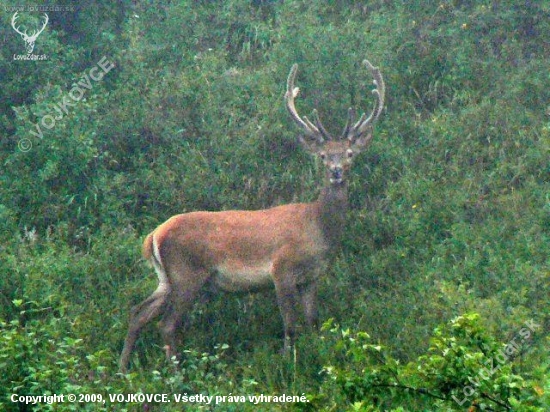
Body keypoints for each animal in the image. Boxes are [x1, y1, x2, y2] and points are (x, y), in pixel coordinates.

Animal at [119, 58, 388, 374]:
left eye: (349, 154)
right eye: (322, 156)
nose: (335, 172)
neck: (318, 228)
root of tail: (153, 236)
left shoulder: (313, 277)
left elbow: (313, 322)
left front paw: (319, 358)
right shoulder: (281, 269)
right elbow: (290, 324)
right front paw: (289, 364)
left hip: (165, 278)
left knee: (138, 312)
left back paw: (123, 369)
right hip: (187, 273)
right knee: (167, 324)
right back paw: (176, 375)